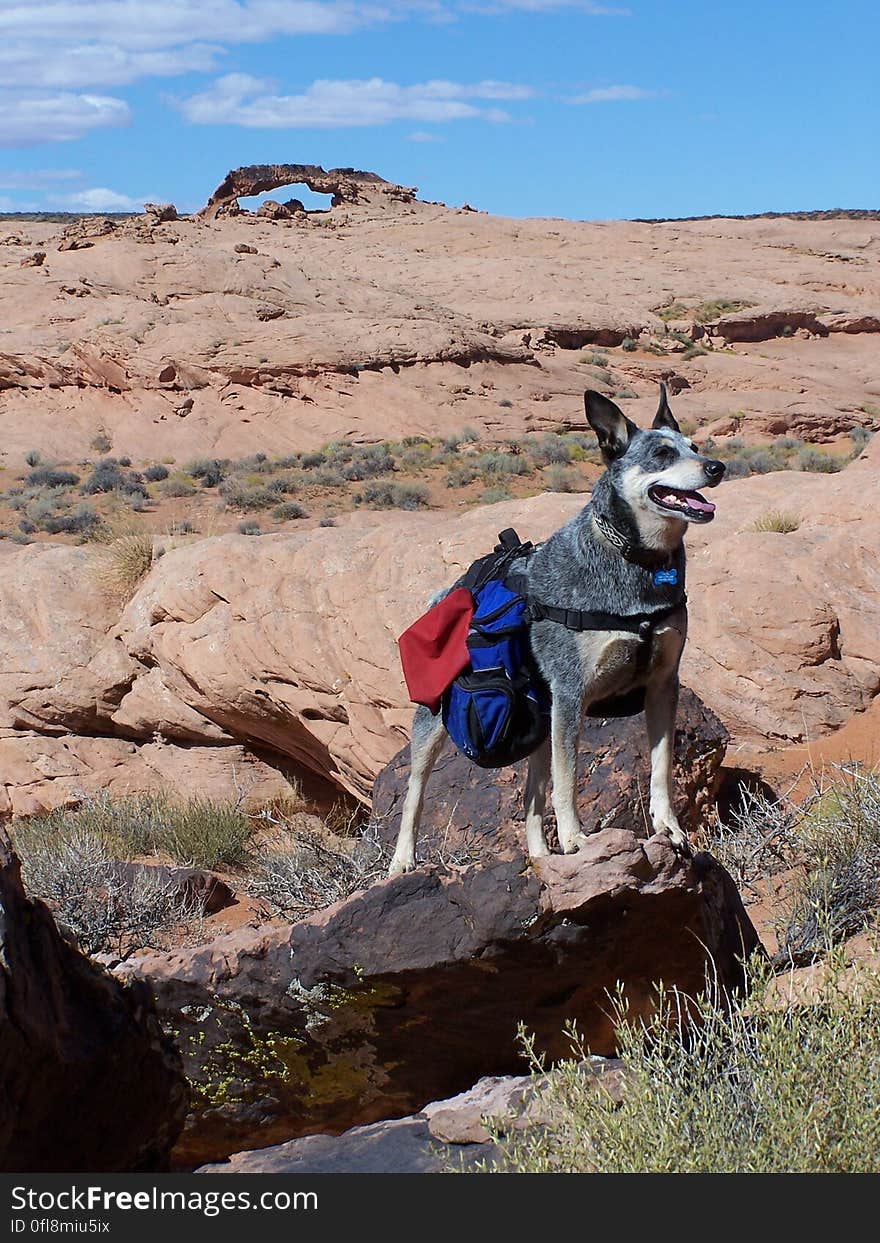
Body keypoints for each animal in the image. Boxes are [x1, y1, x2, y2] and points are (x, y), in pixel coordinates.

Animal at [387, 382, 725, 880]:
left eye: (695, 448)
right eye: (662, 454)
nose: (717, 467)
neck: (636, 560)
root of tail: (444, 592)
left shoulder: (663, 684)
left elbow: (661, 766)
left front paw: (669, 828)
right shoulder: (571, 694)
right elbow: (568, 780)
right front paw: (576, 839)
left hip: (540, 723)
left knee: (530, 797)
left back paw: (541, 857)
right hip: (435, 723)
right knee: (415, 793)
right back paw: (402, 861)